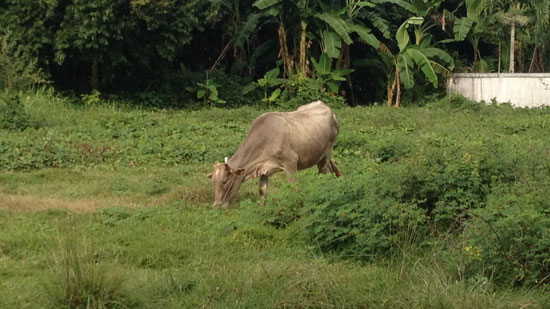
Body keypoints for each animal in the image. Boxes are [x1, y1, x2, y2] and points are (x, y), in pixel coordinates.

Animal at [209, 101, 342, 207]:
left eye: (224, 181)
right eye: (213, 181)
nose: (216, 205)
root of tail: (325, 106)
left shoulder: (291, 163)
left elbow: (294, 188)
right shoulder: (262, 168)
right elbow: (262, 191)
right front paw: (261, 208)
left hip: (328, 151)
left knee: (324, 172)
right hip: (320, 156)